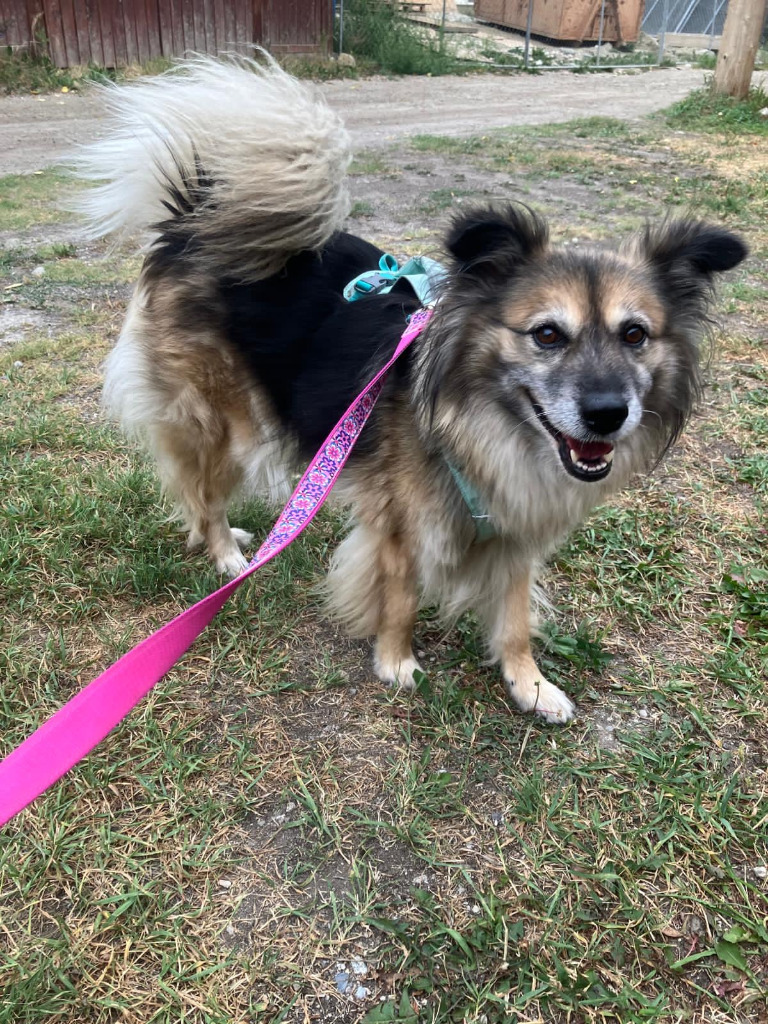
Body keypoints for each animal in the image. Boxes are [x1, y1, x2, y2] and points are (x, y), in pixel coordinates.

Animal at [75, 56, 749, 724]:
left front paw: (529, 684)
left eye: (635, 334)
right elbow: (399, 596)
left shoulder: (516, 527)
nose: (609, 413)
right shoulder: (400, 523)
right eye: (547, 335)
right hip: (217, 419)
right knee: (202, 490)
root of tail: (194, 221)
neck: (487, 425)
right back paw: (226, 554)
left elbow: (514, 617)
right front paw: (396, 661)